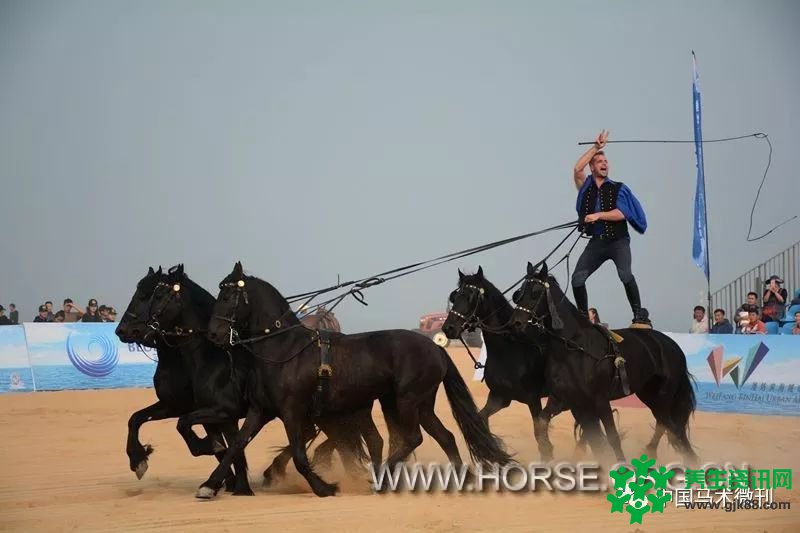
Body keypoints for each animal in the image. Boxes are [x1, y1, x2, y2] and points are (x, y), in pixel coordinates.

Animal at [195, 262, 512, 498]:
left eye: (227, 297)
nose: (213, 334)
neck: (283, 349)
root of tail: (435, 347)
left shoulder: (292, 411)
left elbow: (298, 453)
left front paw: (323, 486)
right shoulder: (261, 411)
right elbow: (237, 444)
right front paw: (209, 485)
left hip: (407, 400)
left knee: (413, 438)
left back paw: (381, 479)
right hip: (417, 404)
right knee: (444, 436)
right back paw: (459, 478)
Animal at [440, 268, 584, 460]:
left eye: (471, 296)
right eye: (455, 297)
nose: (448, 328)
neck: (510, 349)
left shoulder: (533, 399)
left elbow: (542, 439)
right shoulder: (499, 397)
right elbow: (482, 419)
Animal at [510, 262, 696, 462]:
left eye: (536, 292)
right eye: (519, 293)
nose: (516, 323)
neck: (575, 346)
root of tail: (672, 345)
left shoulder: (599, 400)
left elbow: (612, 437)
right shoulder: (563, 398)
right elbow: (543, 424)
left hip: (663, 396)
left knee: (671, 426)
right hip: (647, 392)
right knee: (667, 426)